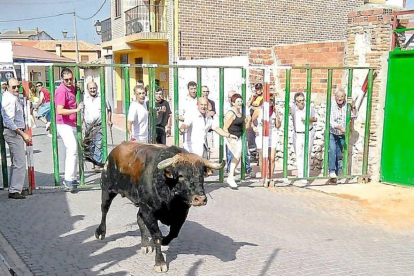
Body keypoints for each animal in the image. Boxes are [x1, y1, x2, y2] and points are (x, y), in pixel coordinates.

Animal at [93, 143, 225, 272]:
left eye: (202, 175)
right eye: (181, 175)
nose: (200, 199)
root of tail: (114, 151)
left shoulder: (181, 213)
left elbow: (173, 233)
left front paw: (165, 241)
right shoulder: (149, 211)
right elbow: (156, 236)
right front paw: (160, 262)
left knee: (139, 218)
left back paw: (145, 244)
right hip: (107, 189)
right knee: (104, 209)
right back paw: (101, 232)